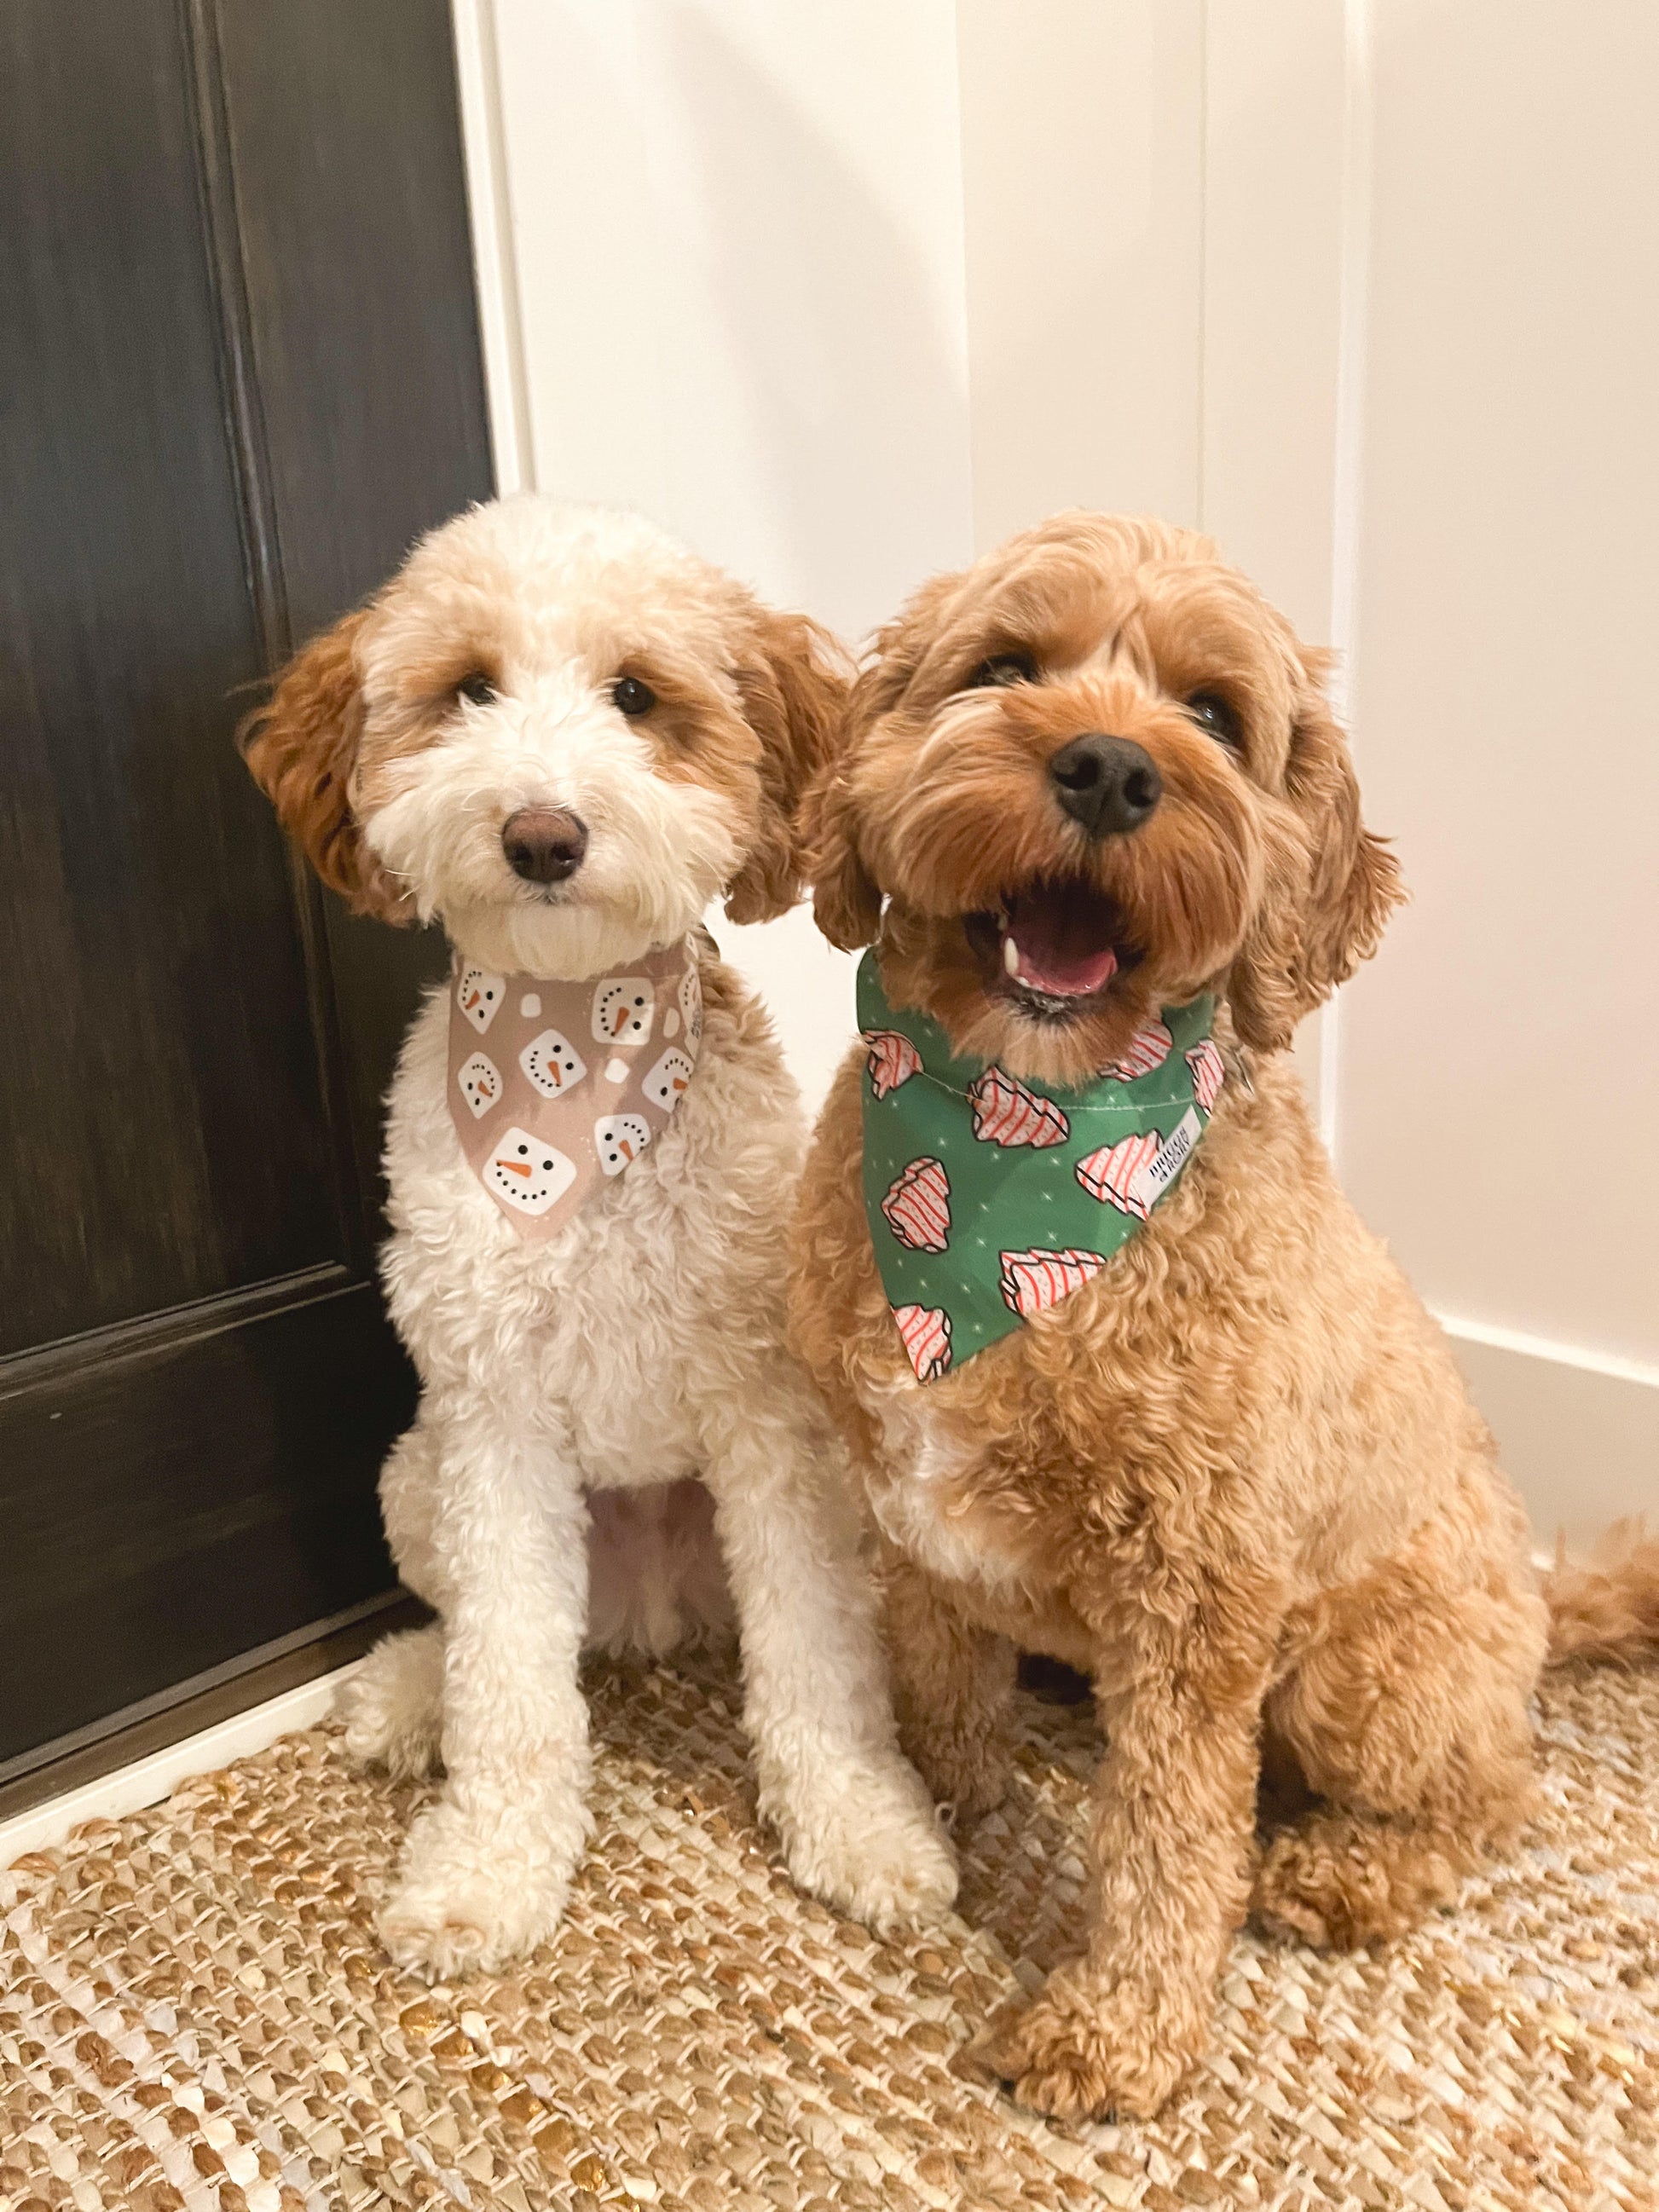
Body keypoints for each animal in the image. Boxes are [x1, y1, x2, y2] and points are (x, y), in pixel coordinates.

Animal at [240, 497, 955, 1972]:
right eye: (467, 689)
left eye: (635, 694)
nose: (541, 833)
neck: (570, 1073)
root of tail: (643, 1611)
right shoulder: (492, 1417)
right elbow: (509, 1678)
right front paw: (487, 1868)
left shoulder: (770, 1413)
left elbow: (816, 1665)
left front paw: (860, 1827)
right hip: (417, 1476)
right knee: (472, 1629)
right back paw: (408, 1695)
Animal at [787, 508, 1659, 2114]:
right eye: (1004, 666)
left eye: (1212, 714)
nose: (1109, 770)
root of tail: (1535, 1602)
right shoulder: (908, 1515)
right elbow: (939, 1690)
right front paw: (936, 1807)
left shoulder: (1195, 1590)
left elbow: (1167, 1832)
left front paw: (1116, 2026)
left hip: (1364, 1674)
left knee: (1493, 1789)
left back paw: (1341, 1872)